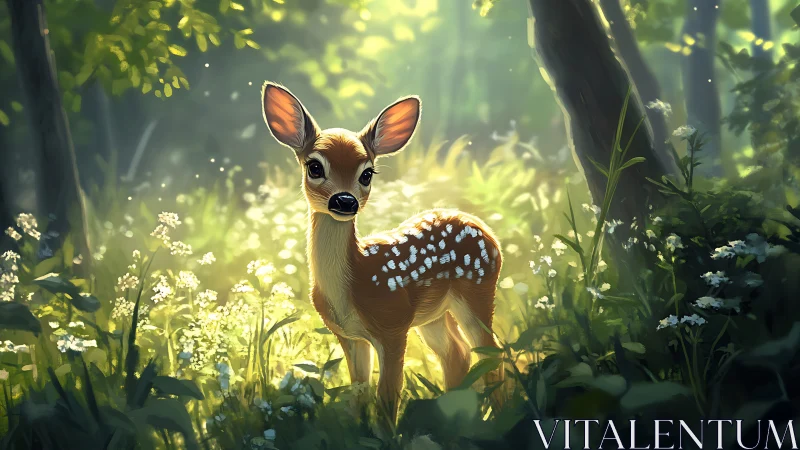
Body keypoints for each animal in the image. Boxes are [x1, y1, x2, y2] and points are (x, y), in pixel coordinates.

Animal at [260, 82, 505, 423]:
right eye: (314, 166)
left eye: (367, 173)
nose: (344, 201)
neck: (353, 281)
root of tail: (486, 230)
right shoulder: (349, 336)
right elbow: (359, 392)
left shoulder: (393, 326)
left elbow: (387, 397)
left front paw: (388, 431)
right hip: (433, 315)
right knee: (457, 353)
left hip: (478, 290)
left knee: (491, 351)